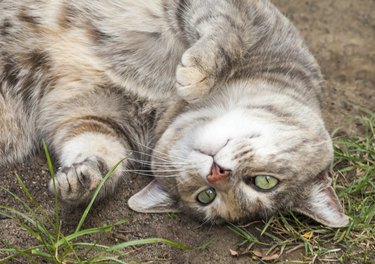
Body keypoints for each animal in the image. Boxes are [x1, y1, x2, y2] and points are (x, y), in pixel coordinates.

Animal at [1, 0, 352, 227]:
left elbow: (99, 151)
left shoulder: (93, 116)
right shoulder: (239, 13)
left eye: (206, 197)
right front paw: (197, 74)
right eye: (266, 182)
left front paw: (82, 180)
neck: (170, 104)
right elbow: (226, 33)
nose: (217, 173)